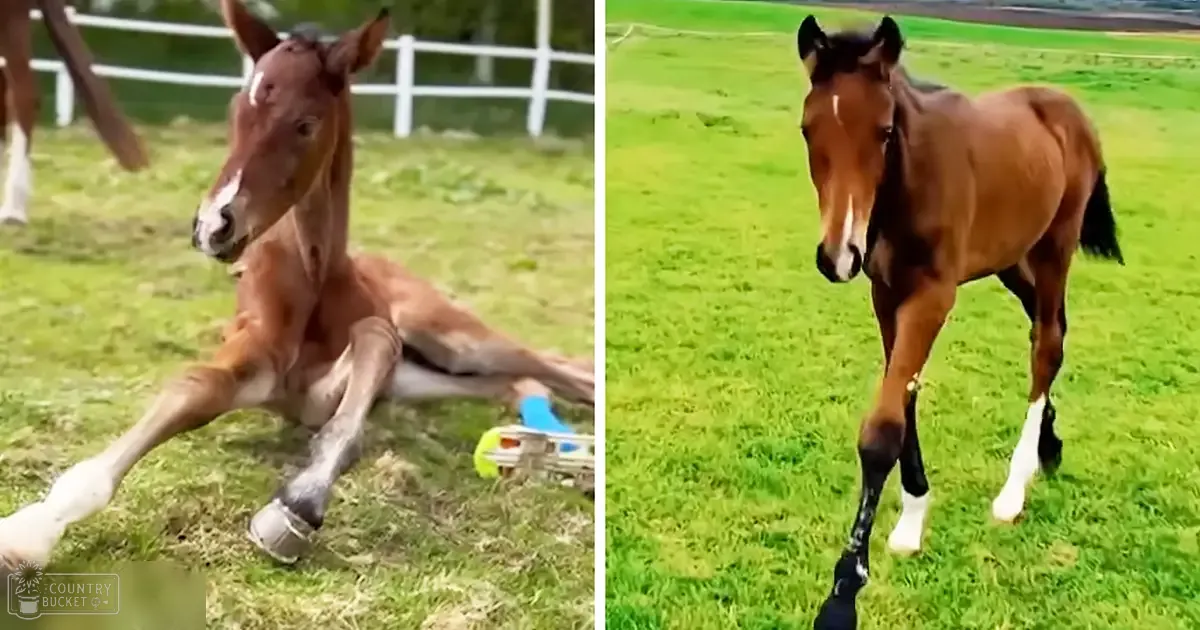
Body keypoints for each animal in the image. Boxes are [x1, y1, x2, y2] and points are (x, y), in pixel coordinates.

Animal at [794, 15, 1123, 630]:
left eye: (883, 131)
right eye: (807, 130)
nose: (838, 254)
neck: (906, 185)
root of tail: (1068, 109)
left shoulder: (932, 297)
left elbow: (882, 428)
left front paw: (844, 591)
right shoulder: (886, 295)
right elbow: (903, 400)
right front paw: (910, 520)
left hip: (1054, 249)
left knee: (1046, 345)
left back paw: (1014, 491)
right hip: (1012, 261)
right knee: (1053, 332)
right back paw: (1049, 447)